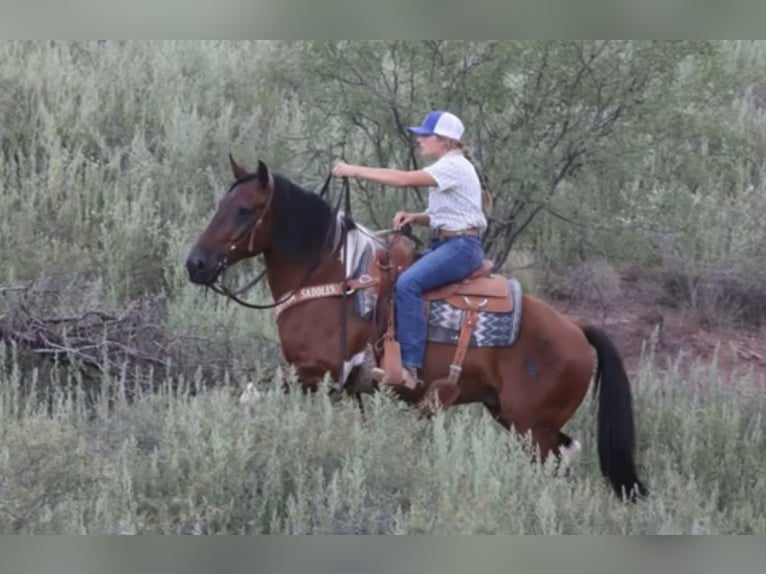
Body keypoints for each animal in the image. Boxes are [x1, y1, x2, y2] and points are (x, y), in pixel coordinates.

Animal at [185, 156, 649, 502]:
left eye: (245, 210)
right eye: (220, 206)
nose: (196, 265)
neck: (334, 277)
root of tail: (577, 330)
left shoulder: (316, 373)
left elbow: (249, 396)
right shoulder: (344, 387)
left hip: (531, 426)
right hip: (514, 417)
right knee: (565, 456)